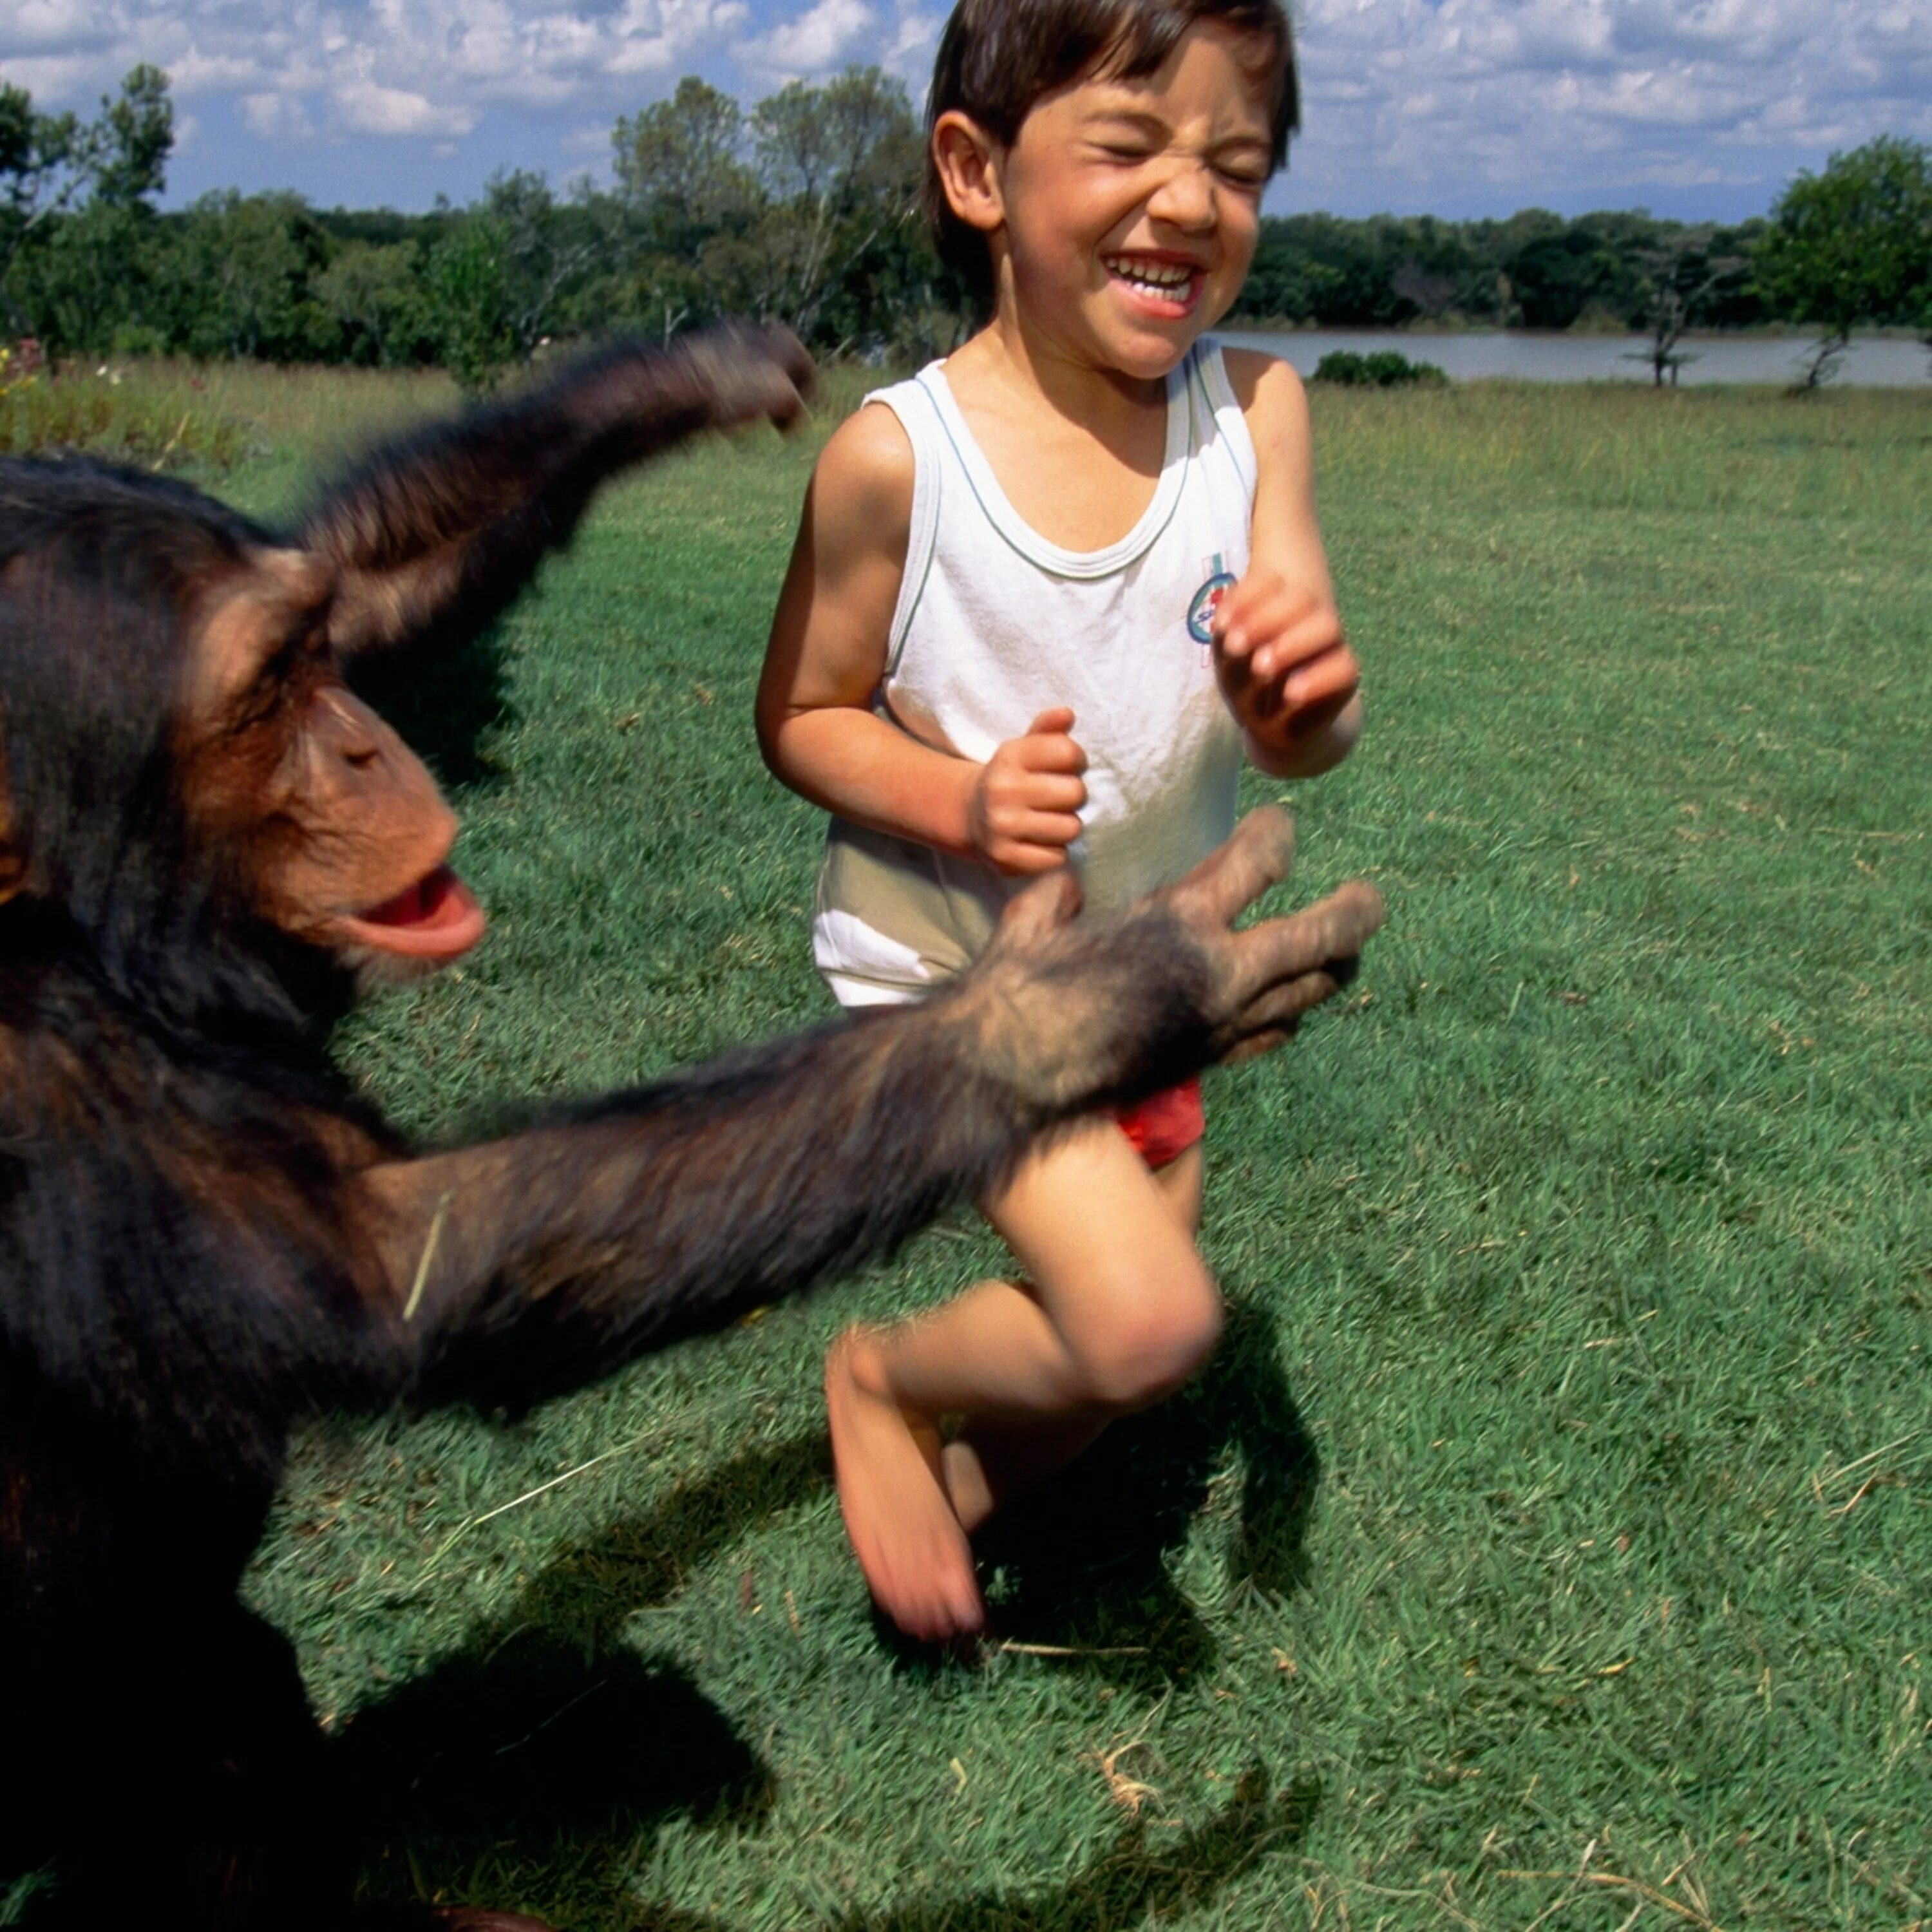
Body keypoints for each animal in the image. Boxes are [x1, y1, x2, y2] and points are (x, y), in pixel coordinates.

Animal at [0, 325, 1391, 1924]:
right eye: (257, 702)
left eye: (300, 665)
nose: (355, 749)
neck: (95, 943)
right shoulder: (48, 1091)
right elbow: (424, 1262)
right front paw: (1077, 1000)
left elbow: (354, 572)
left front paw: (686, 377)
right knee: (1127, 1307)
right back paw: (882, 1417)